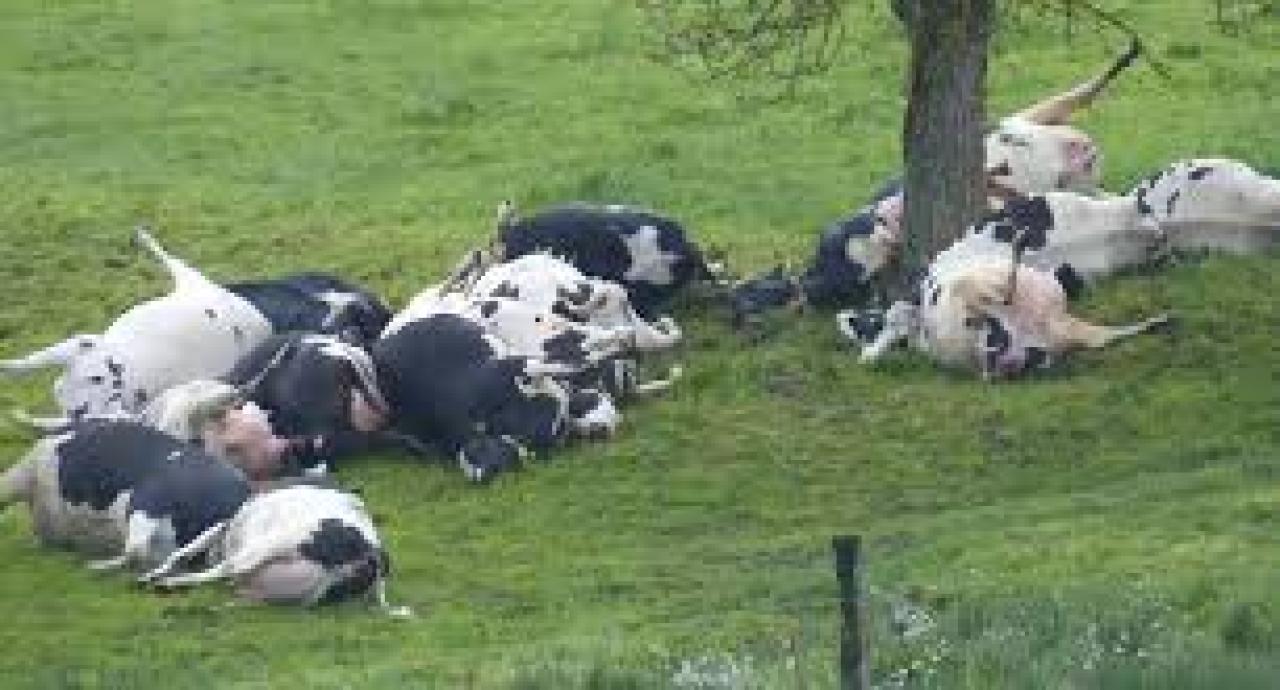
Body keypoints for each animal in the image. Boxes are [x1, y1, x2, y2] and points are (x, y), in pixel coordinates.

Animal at [0, 227, 271, 421]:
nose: (77, 412)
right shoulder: (79, 346)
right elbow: (28, 362)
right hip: (187, 276)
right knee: (166, 255)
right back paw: (143, 236)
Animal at [138, 485, 408, 615]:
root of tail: (372, 549)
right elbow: (185, 551)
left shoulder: (225, 526)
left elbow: (184, 550)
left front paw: (154, 575)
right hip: (299, 594)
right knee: (238, 592)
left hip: (270, 544)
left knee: (225, 570)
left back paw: (164, 584)